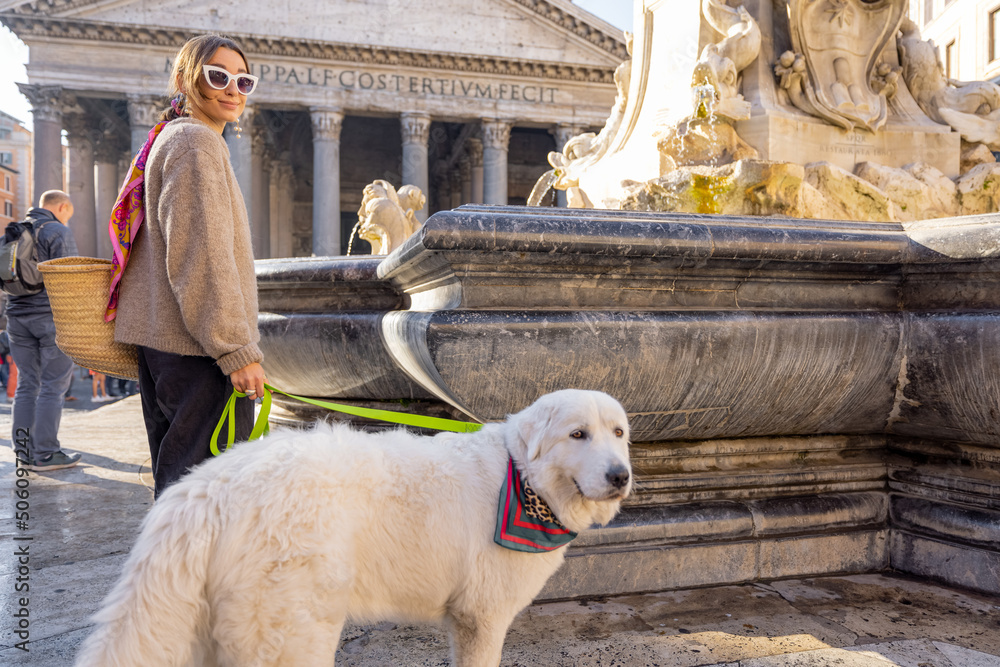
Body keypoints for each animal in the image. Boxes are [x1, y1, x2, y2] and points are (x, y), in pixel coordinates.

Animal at [74, 388, 632, 664]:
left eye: (619, 433)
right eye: (578, 435)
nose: (621, 476)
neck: (522, 477)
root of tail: (208, 487)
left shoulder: (465, 621)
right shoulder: (482, 618)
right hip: (296, 634)